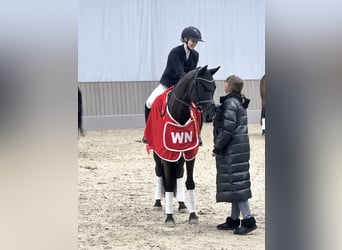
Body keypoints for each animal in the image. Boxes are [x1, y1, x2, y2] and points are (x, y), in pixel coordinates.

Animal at [144, 65, 219, 226]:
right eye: (201, 86)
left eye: (214, 87)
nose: (210, 116)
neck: (180, 115)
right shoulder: (167, 154)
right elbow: (168, 183)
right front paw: (169, 218)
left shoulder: (190, 153)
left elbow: (189, 182)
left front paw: (193, 215)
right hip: (157, 152)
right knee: (159, 172)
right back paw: (158, 203)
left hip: (180, 154)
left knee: (178, 173)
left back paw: (182, 204)